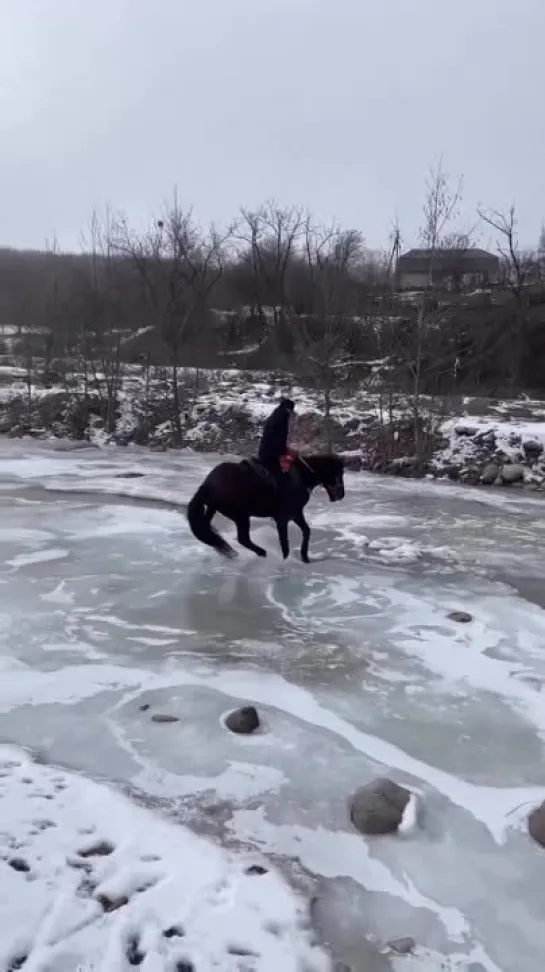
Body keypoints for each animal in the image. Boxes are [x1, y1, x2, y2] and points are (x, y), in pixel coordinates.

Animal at [187, 454, 344, 560]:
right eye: (339, 472)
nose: (341, 495)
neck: (300, 476)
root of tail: (207, 484)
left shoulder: (295, 513)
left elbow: (306, 531)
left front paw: (304, 557)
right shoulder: (284, 517)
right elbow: (286, 541)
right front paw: (287, 559)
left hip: (214, 509)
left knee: (207, 528)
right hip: (241, 516)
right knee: (243, 539)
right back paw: (261, 552)